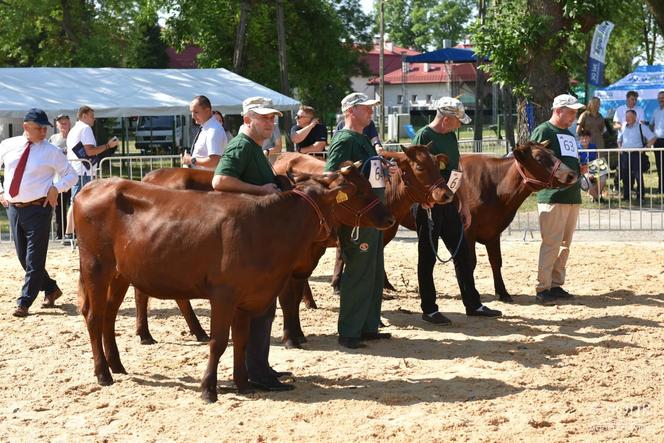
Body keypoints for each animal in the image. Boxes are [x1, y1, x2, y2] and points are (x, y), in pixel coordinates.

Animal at [76, 172, 394, 400]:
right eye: (360, 192)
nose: (389, 217)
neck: (267, 228)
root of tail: (93, 185)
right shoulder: (224, 294)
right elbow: (219, 342)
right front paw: (209, 389)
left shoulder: (249, 295)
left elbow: (241, 340)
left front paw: (243, 384)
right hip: (96, 265)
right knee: (93, 317)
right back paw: (103, 373)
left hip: (120, 272)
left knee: (108, 315)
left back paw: (117, 365)